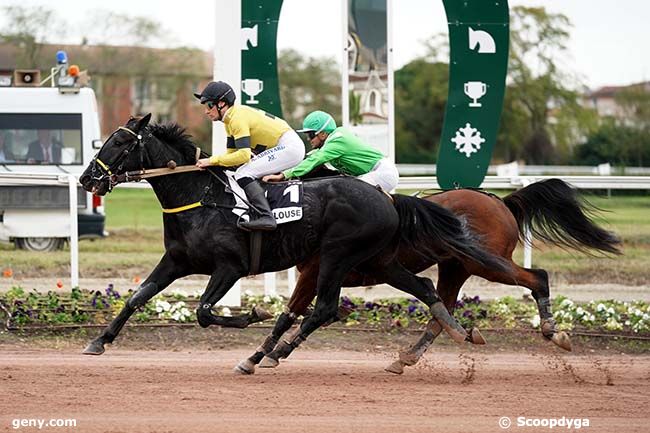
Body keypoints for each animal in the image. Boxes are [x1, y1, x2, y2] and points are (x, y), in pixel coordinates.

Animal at [78, 115, 508, 358]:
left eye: (119, 142)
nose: (87, 179)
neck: (201, 198)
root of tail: (387, 198)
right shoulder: (176, 260)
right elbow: (137, 296)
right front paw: (99, 341)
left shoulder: (230, 267)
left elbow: (203, 311)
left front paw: (255, 313)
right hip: (379, 260)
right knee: (425, 288)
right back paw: (453, 332)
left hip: (337, 255)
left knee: (326, 309)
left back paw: (267, 354)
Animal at [235, 177, 620, 372]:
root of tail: (502, 201)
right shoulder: (324, 271)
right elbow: (290, 314)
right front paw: (258, 353)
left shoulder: (318, 269)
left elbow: (296, 313)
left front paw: (268, 354)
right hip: (455, 267)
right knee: (440, 310)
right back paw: (408, 356)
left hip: (484, 263)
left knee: (537, 277)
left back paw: (554, 331)